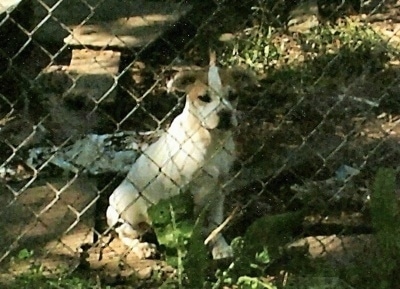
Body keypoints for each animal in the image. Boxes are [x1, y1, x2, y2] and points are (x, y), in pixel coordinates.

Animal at [106, 52, 256, 258]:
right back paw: (142, 247)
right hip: (129, 204)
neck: (210, 141)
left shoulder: (219, 189)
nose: (225, 114)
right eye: (204, 98)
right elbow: (181, 227)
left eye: (233, 95)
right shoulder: (178, 193)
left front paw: (220, 247)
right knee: (125, 233)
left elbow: (215, 223)